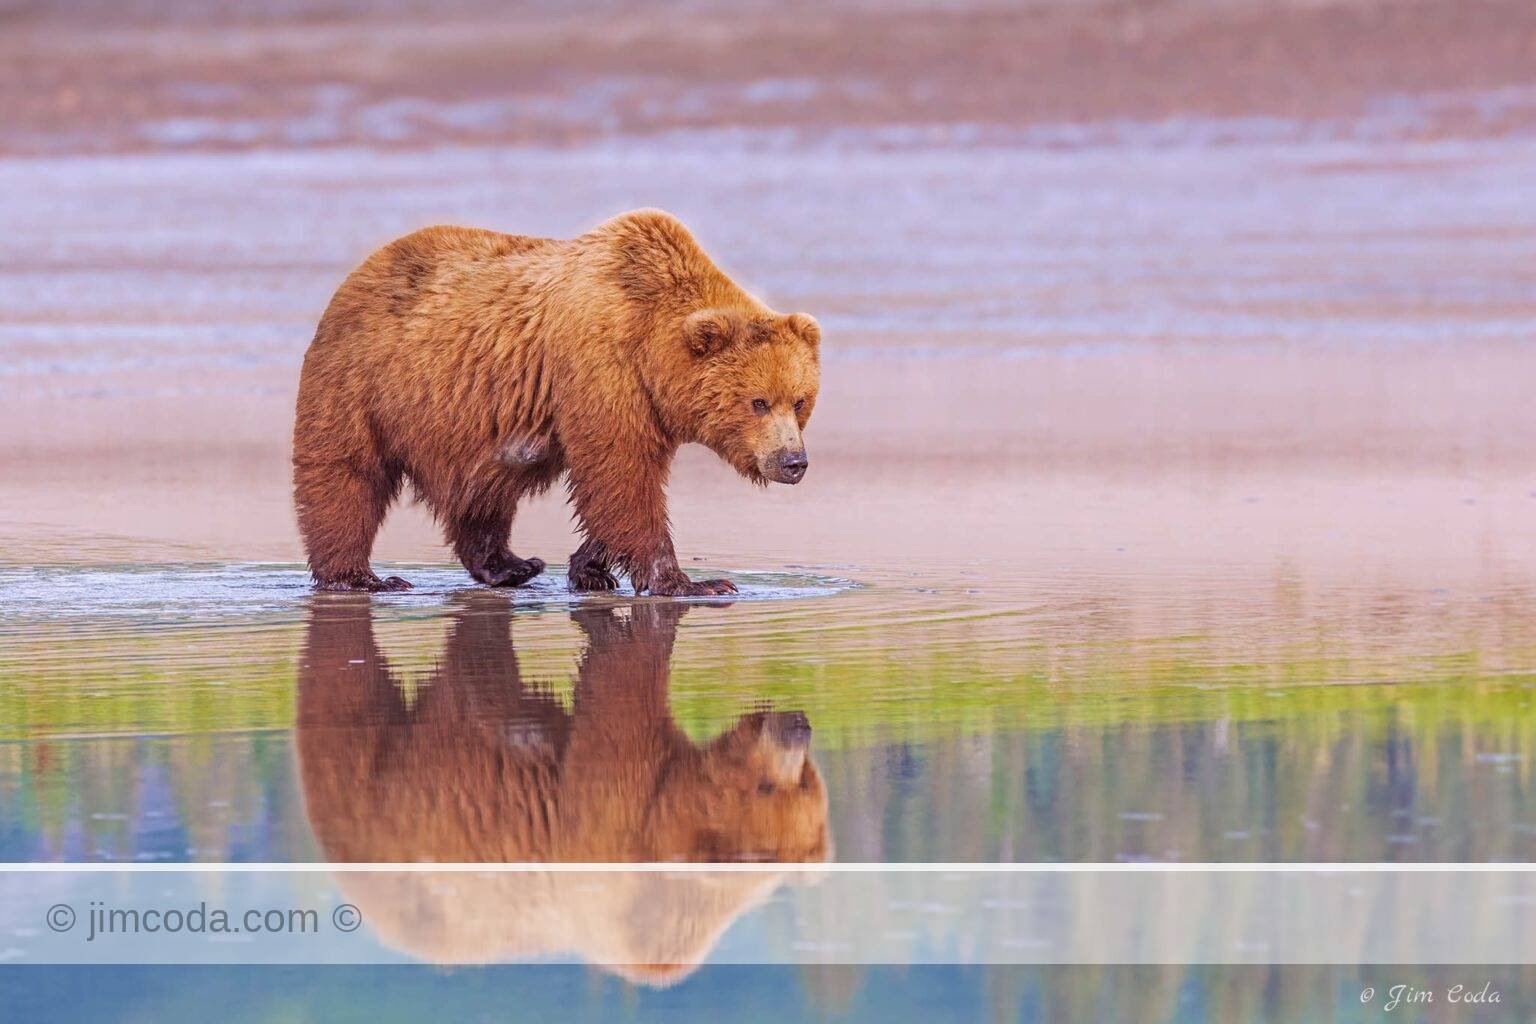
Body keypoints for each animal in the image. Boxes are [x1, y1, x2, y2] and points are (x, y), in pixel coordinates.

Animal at [292, 209, 821, 594]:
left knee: (484, 491)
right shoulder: (601, 365)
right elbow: (619, 474)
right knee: (345, 475)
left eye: (798, 401)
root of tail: (361, 269)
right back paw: (361, 577)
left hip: (470, 424)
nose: (793, 461)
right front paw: (693, 582)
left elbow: (616, 485)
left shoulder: (648, 404)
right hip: (363, 381)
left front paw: (589, 566)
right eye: (758, 401)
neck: (651, 347)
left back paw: (511, 565)